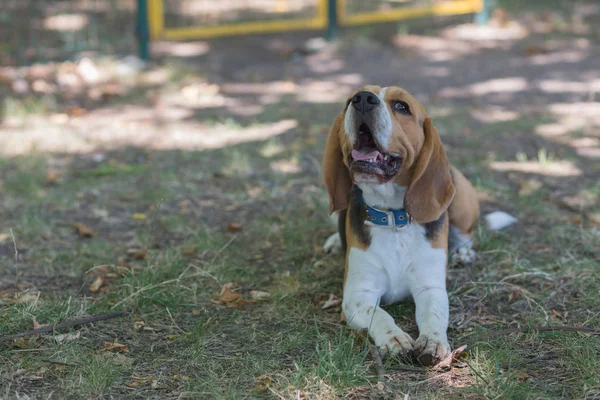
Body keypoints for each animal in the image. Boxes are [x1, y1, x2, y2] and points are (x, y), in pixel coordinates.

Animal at [322, 85, 512, 366]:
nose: (362, 99)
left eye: (402, 107)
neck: (392, 218)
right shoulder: (357, 294)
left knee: (465, 234)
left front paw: (433, 342)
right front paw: (395, 339)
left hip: (461, 198)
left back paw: (463, 253)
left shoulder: (430, 286)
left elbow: (433, 315)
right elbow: (379, 314)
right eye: (348, 102)